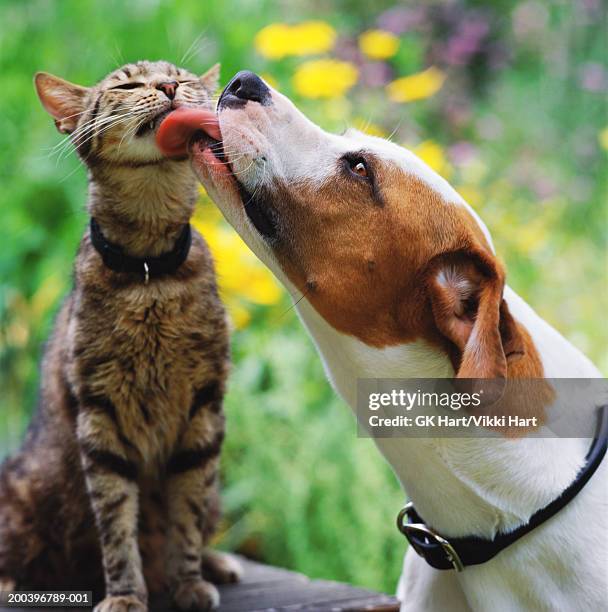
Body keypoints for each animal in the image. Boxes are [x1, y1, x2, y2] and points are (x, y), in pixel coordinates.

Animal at [0, 58, 241, 612]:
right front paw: (127, 594)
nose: (169, 87)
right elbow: (115, 524)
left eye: (182, 77)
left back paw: (215, 562)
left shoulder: (204, 407)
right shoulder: (100, 413)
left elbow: (187, 511)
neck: (149, 272)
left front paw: (189, 580)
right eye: (129, 85)